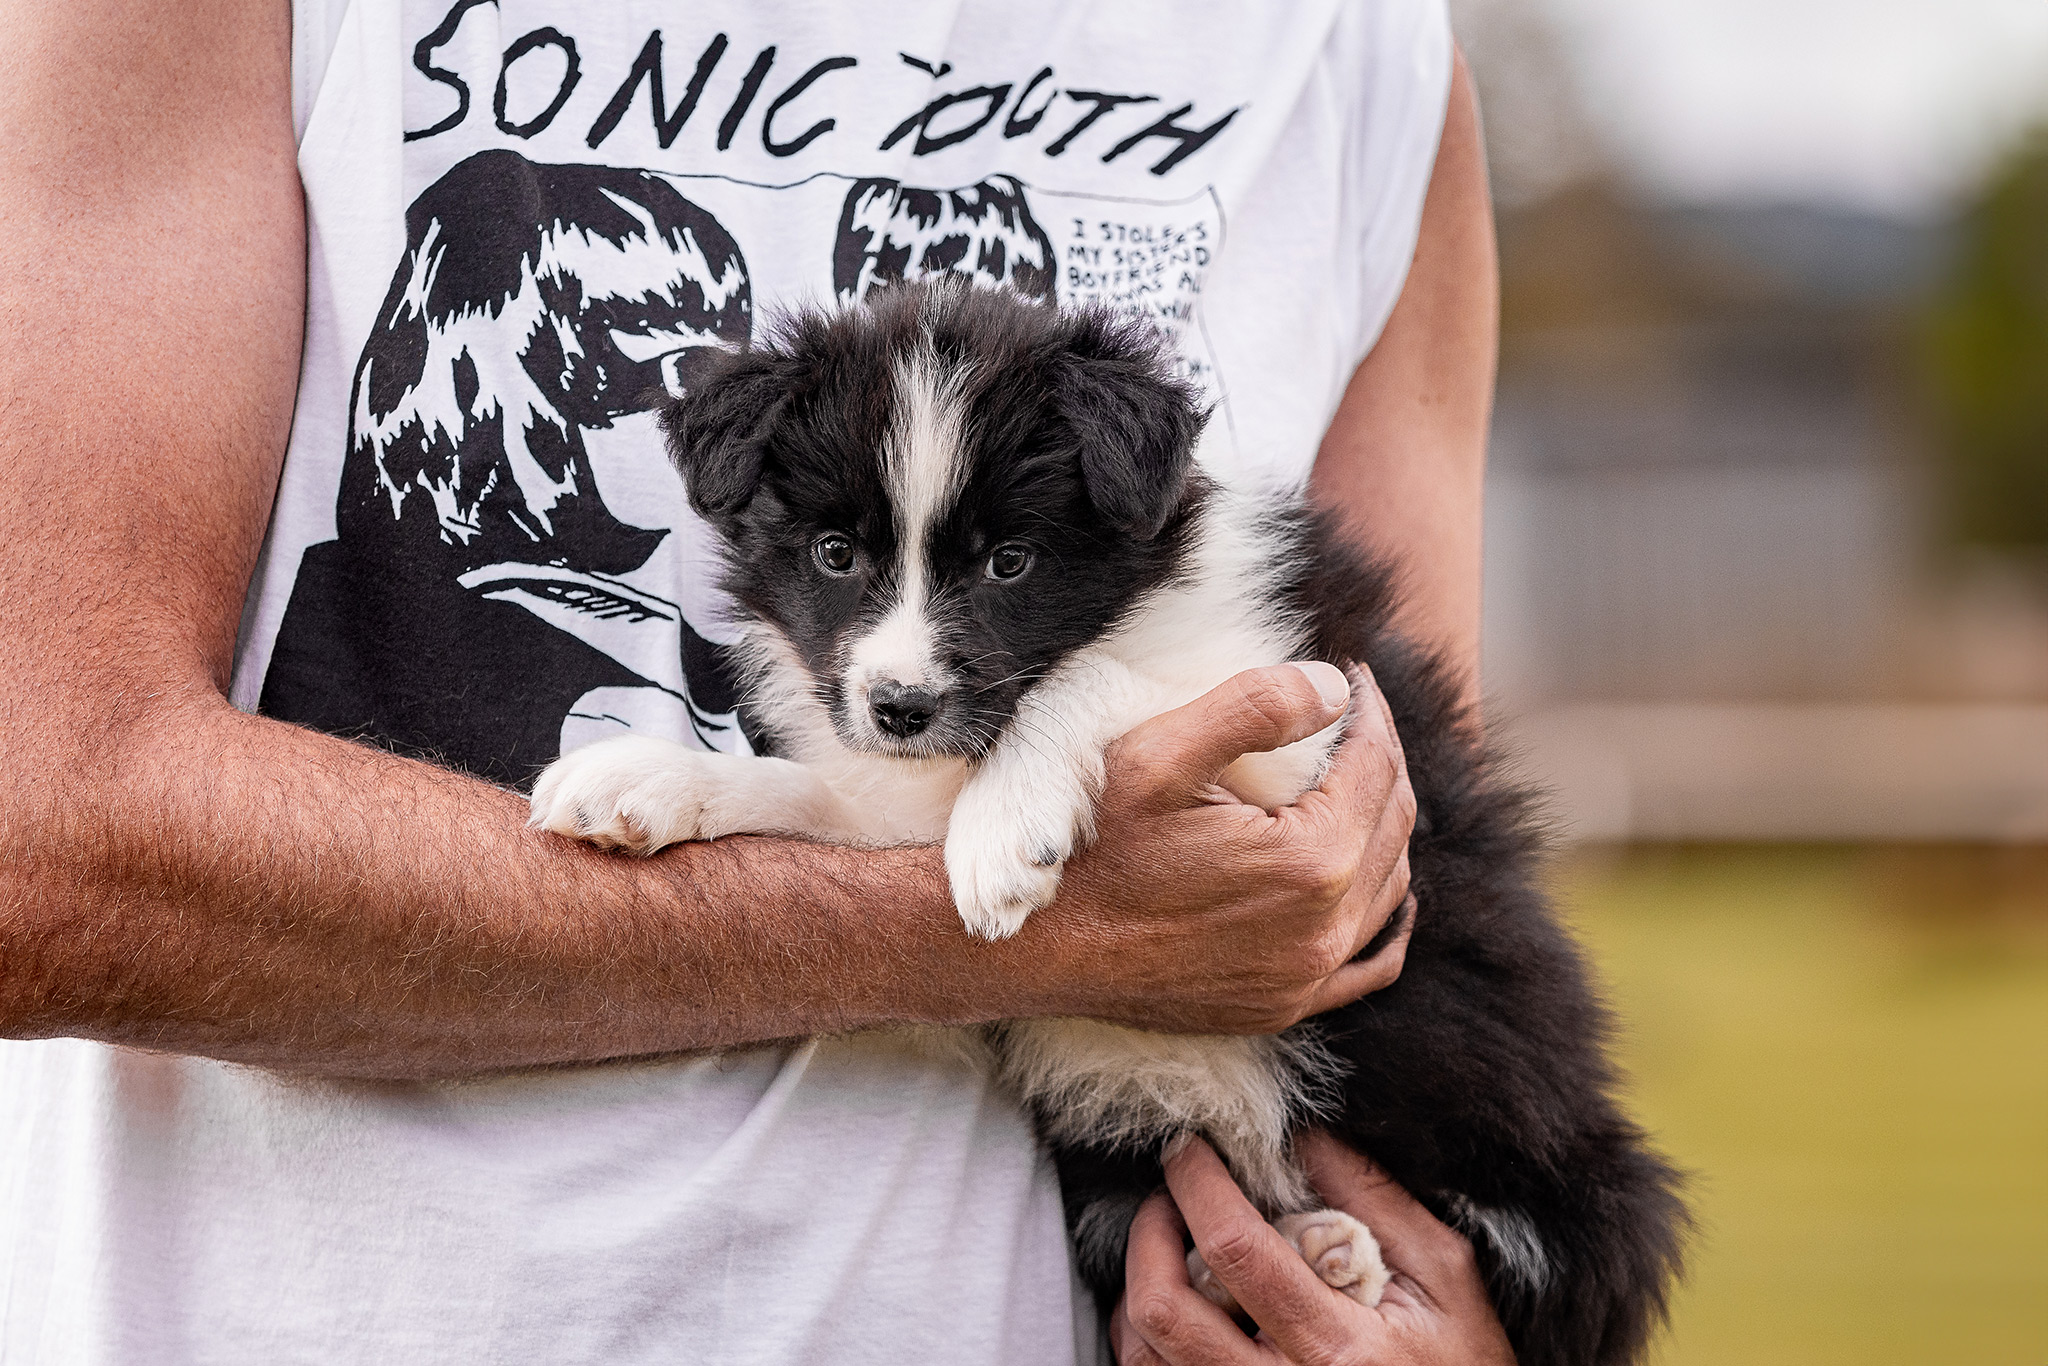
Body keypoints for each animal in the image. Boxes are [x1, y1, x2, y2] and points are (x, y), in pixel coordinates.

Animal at [536, 280, 1687, 1366]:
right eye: (833, 553)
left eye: (1010, 562)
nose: (901, 707)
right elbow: (816, 793)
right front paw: (639, 781)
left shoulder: (1305, 728)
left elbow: (1081, 677)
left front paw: (1005, 831)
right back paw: (1285, 1255)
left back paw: (1339, 1258)